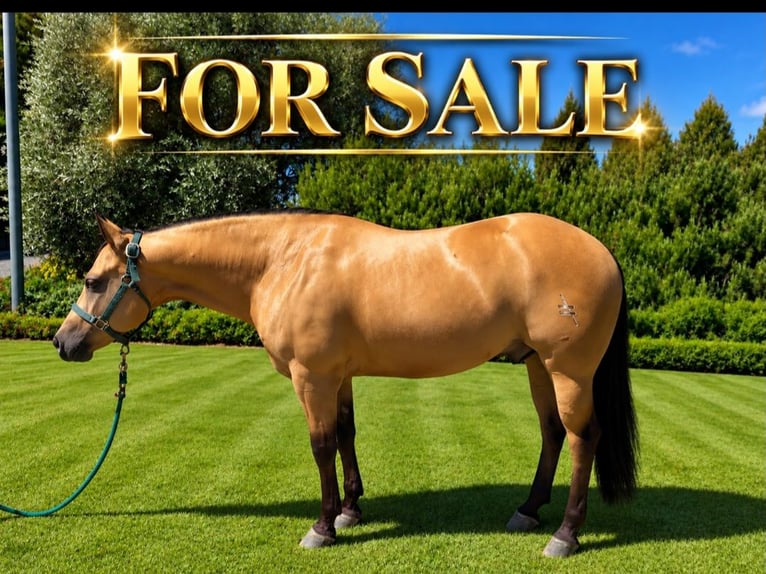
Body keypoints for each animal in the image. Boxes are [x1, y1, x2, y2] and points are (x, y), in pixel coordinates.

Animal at [52, 210, 639, 558]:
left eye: (93, 280)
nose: (63, 342)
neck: (282, 260)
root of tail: (602, 250)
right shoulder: (338, 376)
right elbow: (347, 435)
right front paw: (352, 511)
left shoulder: (311, 376)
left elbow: (321, 445)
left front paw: (322, 526)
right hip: (539, 366)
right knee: (552, 434)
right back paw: (528, 511)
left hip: (568, 371)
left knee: (583, 437)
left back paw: (565, 534)